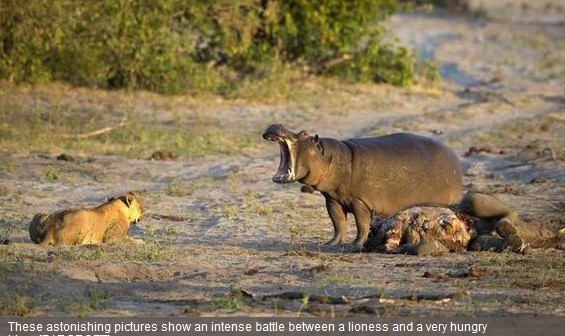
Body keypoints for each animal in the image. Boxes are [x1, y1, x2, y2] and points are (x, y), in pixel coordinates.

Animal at [264, 124, 462, 248]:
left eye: (304, 134)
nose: (276, 125)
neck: (328, 157)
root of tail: (455, 159)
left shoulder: (359, 202)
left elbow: (362, 224)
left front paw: (356, 244)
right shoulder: (332, 200)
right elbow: (338, 223)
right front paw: (330, 243)